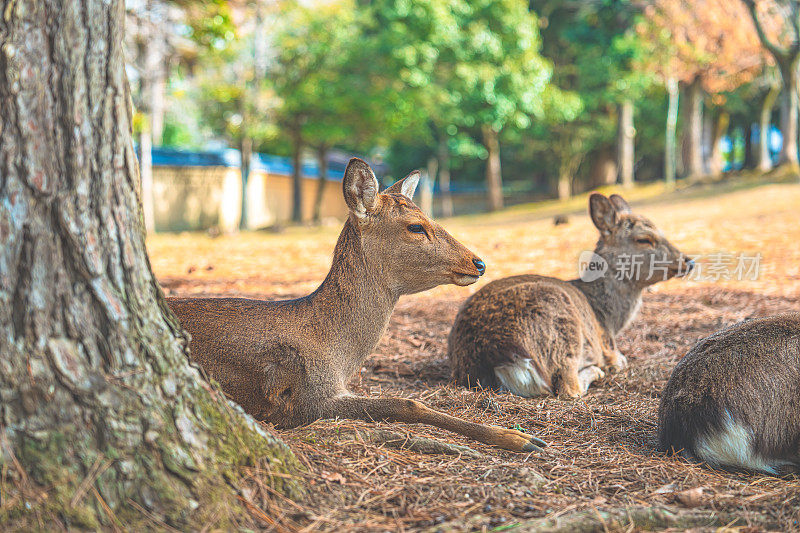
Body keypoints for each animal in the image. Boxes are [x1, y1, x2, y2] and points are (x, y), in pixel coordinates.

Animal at [166, 158, 548, 454]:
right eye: (415, 226)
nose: (478, 263)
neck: (337, 353)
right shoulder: (303, 399)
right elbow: (405, 402)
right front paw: (520, 438)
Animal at [446, 193, 692, 396]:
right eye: (644, 239)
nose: (688, 261)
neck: (609, 321)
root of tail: (497, 356)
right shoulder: (609, 347)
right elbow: (620, 361)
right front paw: (610, 365)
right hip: (562, 328)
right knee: (568, 387)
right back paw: (596, 371)